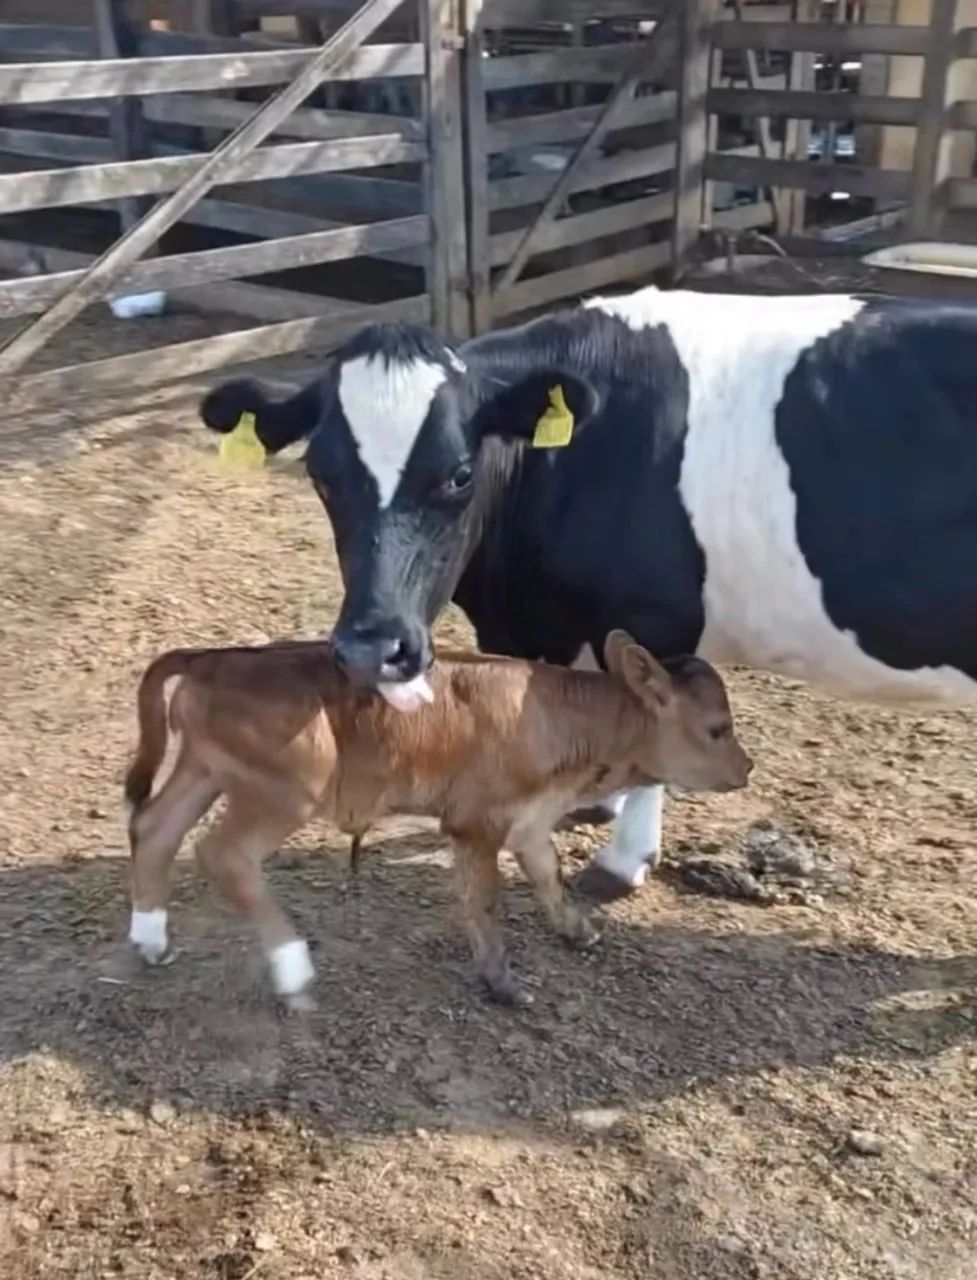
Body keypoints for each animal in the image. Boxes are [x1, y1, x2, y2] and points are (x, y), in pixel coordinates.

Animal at [124, 634, 751, 1008]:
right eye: (718, 728)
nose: (746, 766)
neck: (563, 719)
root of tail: (217, 657)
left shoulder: (530, 820)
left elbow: (548, 874)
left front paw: (578, 929)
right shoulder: (477, 823)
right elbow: (486, 901)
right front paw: (502, 982)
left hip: (205, 768)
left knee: (155, 827)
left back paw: (150, 937)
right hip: (287, 787)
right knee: (223, 855)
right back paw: (292, 968)